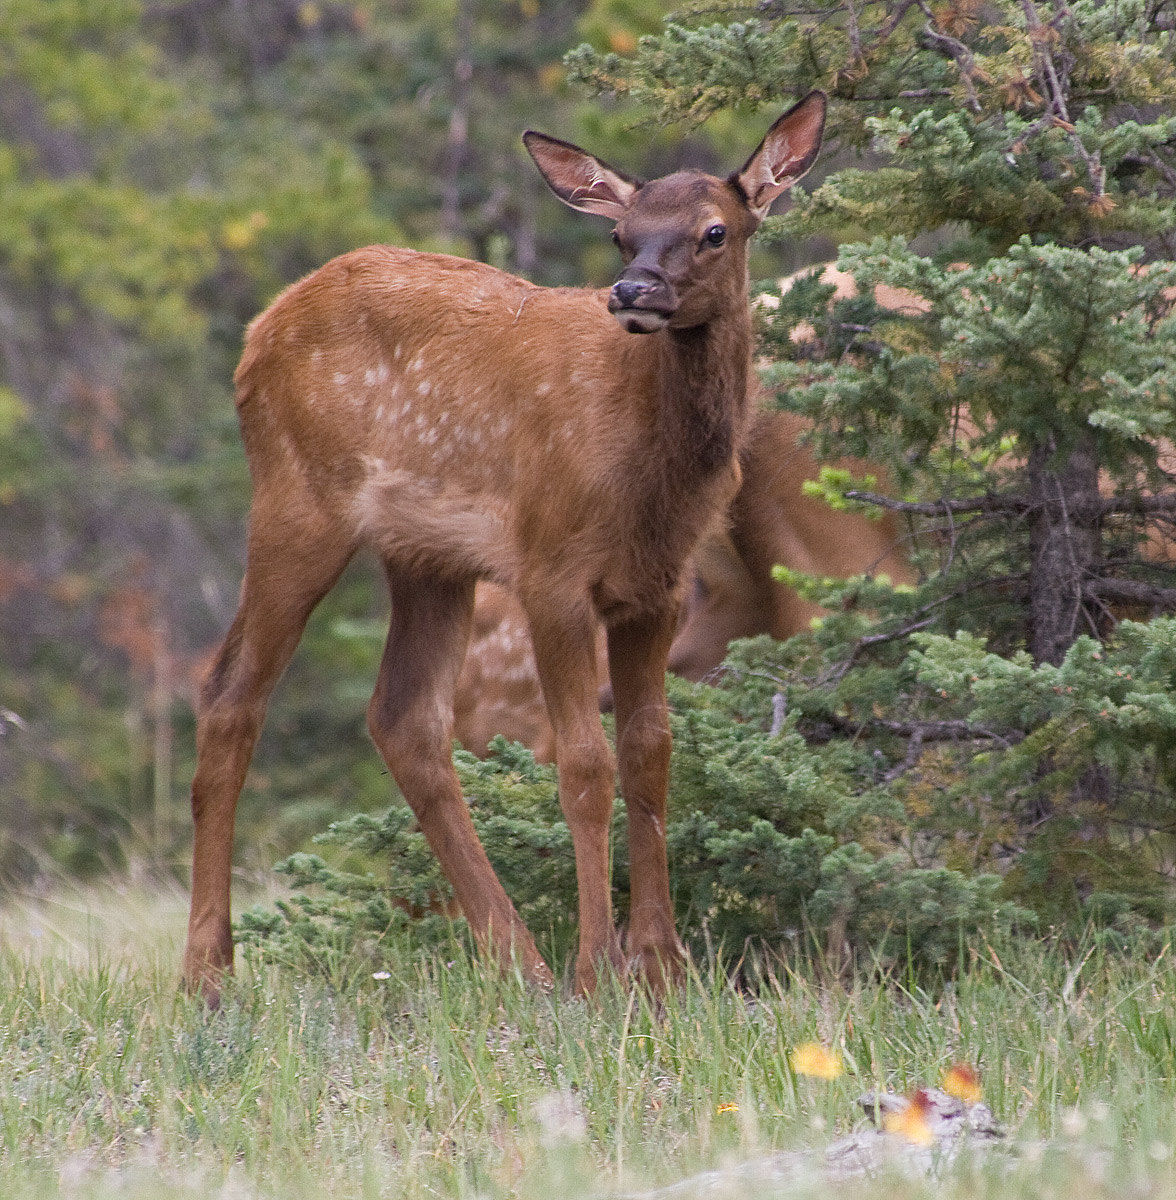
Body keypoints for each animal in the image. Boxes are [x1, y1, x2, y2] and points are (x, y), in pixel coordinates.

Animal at [182, 91, 828, 1005]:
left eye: (715, 231)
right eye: (621, 234)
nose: (633, 290)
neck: (651, 470)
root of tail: (257, 330)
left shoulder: (658, 588)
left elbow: (651, 756)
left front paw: (664, 968)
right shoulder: (550, 567)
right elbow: (585, 768)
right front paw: (602, 970)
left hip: (427, 556)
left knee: (405, 718)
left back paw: (518, 960)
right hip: (296, 502)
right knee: (230, 690)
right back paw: (207, 971)